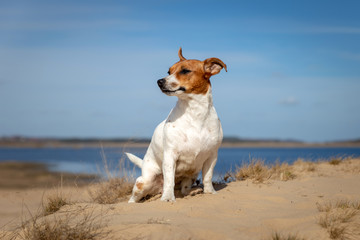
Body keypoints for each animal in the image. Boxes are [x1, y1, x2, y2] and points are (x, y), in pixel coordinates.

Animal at [126, 48, 226, 202]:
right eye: (169, 71)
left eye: (185, 71)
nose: (159, 81)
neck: (195, 112)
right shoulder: (170, 155)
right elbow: (169, 180)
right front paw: (168, 198)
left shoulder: (212, 155)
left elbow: (208, 177)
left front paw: (210, 192)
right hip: (143, 183)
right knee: (134, 198)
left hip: (191, 176)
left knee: (184, 189)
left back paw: (193, 191)